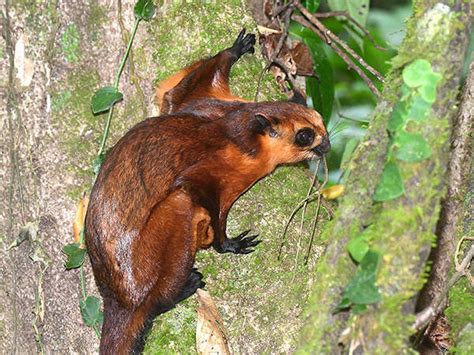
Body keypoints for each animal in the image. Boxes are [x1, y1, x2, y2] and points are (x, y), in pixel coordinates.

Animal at [84, 29, 330, 354]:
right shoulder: (206, 176)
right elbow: (210, 207)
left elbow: (179, 92)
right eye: (304, 136)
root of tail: (119, 300)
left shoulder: (200, 102)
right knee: (155, 300)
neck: (238, 129)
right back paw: (182, 288)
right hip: (174, 219)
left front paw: (237, 48)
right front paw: (229, 244)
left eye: (321, 122)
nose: (327, 145)